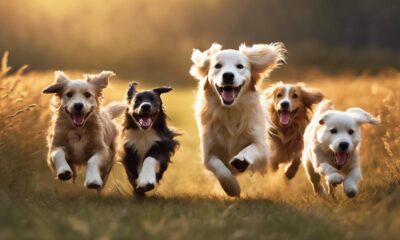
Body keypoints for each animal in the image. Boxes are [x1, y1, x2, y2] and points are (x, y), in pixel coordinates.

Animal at [190, 42, 284, 197]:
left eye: (240, 66)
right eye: (217, 66)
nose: (228, 75)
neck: (230, 111)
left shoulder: (262, 147)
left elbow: (252, 148)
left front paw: (241, 160)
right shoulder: (208, 153)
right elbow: (222, 171)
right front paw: (233, 188)